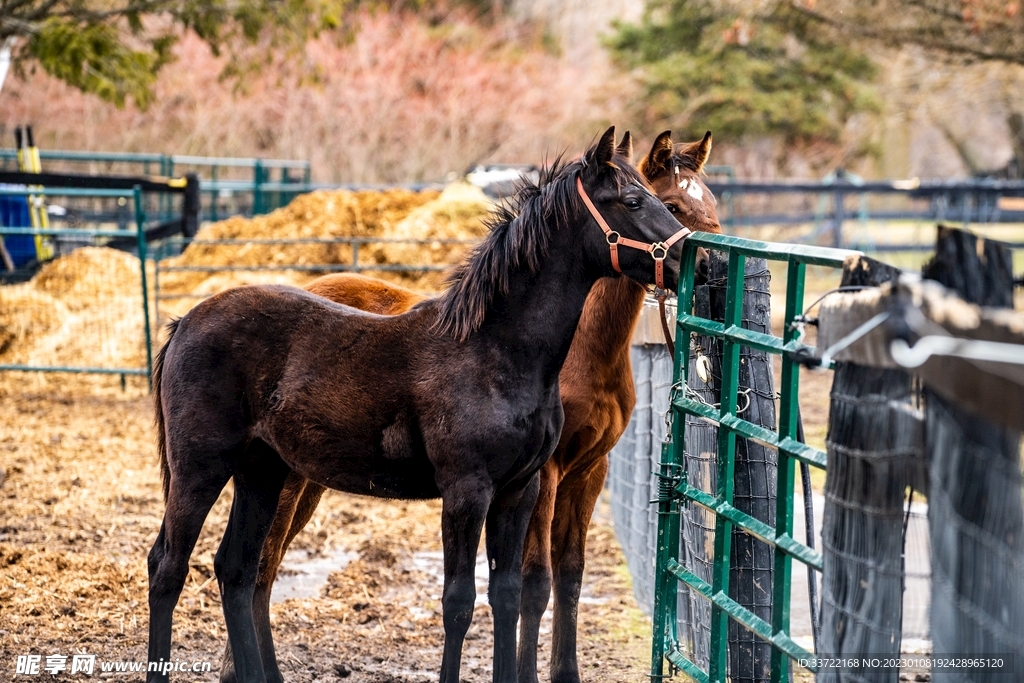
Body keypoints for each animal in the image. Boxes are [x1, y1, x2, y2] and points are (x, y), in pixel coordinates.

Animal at [146, 127, 691, 683]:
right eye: (634, 201)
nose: (700, 262)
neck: (495, 349)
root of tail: (185, 322)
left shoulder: (520, 490)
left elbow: (508, 596)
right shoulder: (467, 492)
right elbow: (458, 603)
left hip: (263, 471)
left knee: (235, 569)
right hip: (201, 469)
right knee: (169, 566)